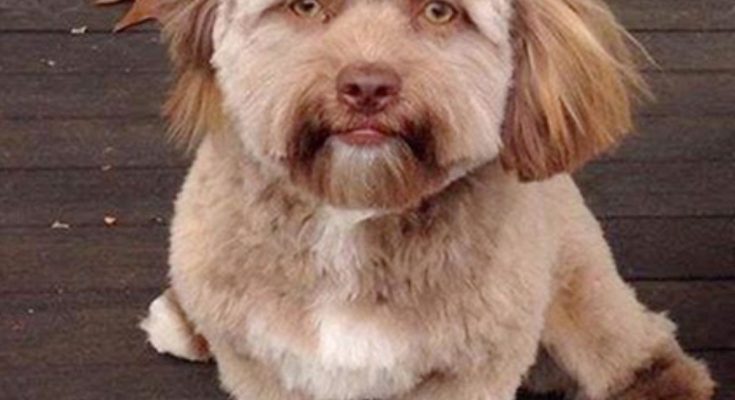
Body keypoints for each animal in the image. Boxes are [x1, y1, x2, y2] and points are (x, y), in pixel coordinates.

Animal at [138, 0, 716, 398]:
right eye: (305, 6)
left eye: (440, 12)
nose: (367, 87)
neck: (350, 213)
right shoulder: (260, 364)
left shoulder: (473, 370)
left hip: (581, 278)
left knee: (636, 347)